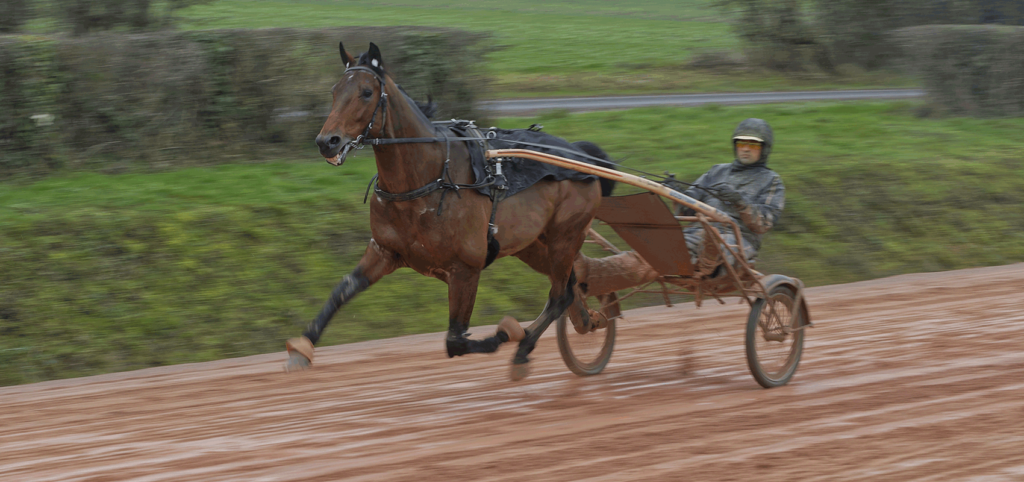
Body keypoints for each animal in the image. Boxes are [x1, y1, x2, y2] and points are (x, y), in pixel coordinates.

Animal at [284, 42, 610, 380]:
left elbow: (455, 340)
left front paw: (506, 332)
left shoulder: (465, 269)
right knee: (569, 287)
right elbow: (343, 289)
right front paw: (302, 347)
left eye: (366, 92)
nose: (327, 141)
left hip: (565, 235)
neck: (428, 179)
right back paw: (586, 322)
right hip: (532, 245)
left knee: (558, 294)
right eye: (335, 91)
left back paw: (524, 348)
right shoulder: (384, 251)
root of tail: (582, 154)